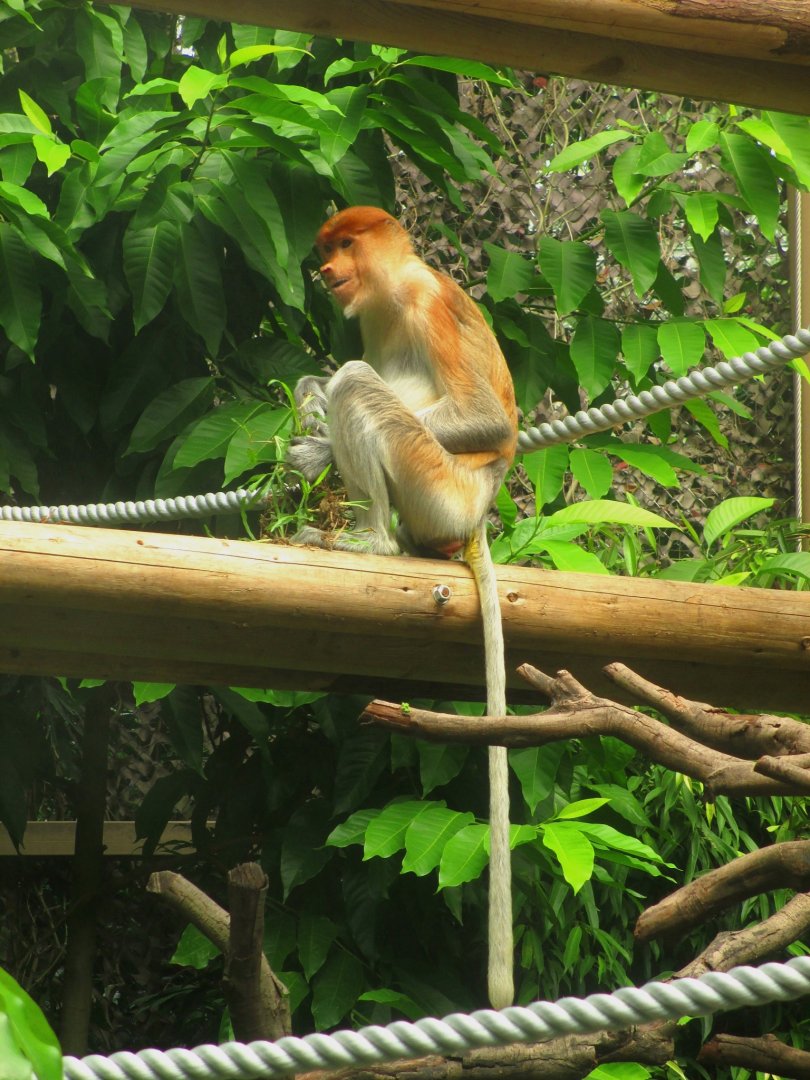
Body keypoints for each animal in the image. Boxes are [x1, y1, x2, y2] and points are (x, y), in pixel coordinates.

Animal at [287, 206, 518, 1009]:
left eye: (345, 245)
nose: (325, 272)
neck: (387, 295)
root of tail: (474, 516)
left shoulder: (424, 301)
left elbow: (485, 419)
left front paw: (315, 450)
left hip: (436, 483)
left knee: (359, 385)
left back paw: (373, 541)